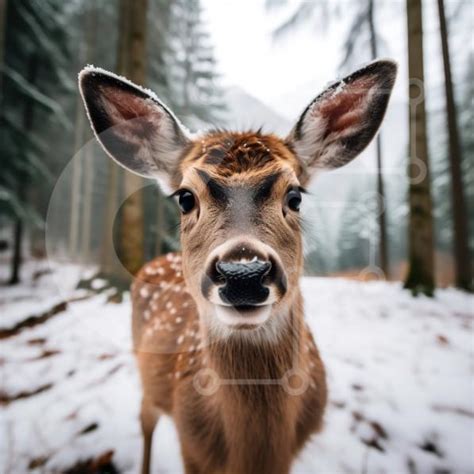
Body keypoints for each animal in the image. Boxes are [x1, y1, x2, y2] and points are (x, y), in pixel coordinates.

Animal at [79, 60, 398, 474]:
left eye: (295, 196)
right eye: (185, 197)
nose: (243, 274)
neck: (253, 452)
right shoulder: (191, 446)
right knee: (146, 419)